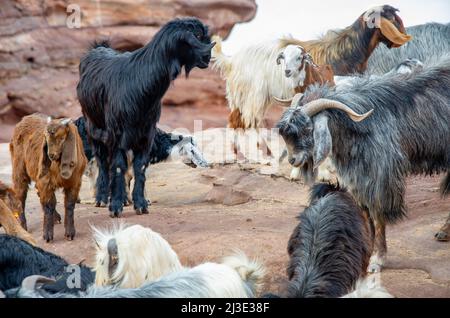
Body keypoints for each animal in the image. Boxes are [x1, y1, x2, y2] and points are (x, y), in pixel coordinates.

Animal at [78, 17, 216, 217]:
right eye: (197, 36)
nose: (207, 58)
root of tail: (98, 48)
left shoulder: (146, 133)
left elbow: (139, 167)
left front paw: (141, 204)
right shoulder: (117, 134)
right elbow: (118, 166)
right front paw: (116, 206)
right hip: (93, 127)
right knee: (103, 161)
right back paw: (102, 198)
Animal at [213, 4, 410, 130]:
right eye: (392, 18)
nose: (398, 41)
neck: (347, 51)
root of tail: (232, 60)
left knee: (235, 121)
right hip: (252, 97)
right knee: (246, 122)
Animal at [276, 54, 450, 270]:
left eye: (308, 129)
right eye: (286, 133)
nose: (293, 159)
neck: (360, 126)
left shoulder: (379, 177)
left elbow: (377, 215)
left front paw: (377, 259)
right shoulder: (358, 179)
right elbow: (366, 215)